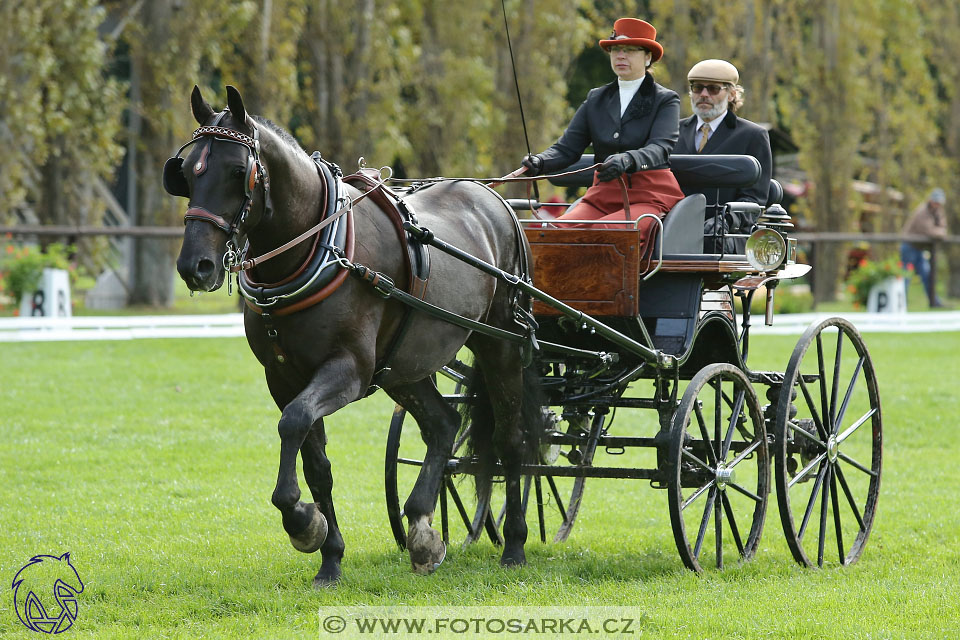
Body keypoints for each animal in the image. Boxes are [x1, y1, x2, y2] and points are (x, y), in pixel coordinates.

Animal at [170, 85, 544, 584]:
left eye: (237, 171)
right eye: (186, 172)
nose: (196, 266)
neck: (318, 248)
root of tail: (494, 200)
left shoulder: (347, 369)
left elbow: (293, 422)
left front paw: (301, 521)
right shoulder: (283, 376)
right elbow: (315, 462)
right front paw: (328, 553)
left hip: (498, 341)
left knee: (509, 438)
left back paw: (516, 544)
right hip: (403, 365)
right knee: (444, 424)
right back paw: (422, 530)